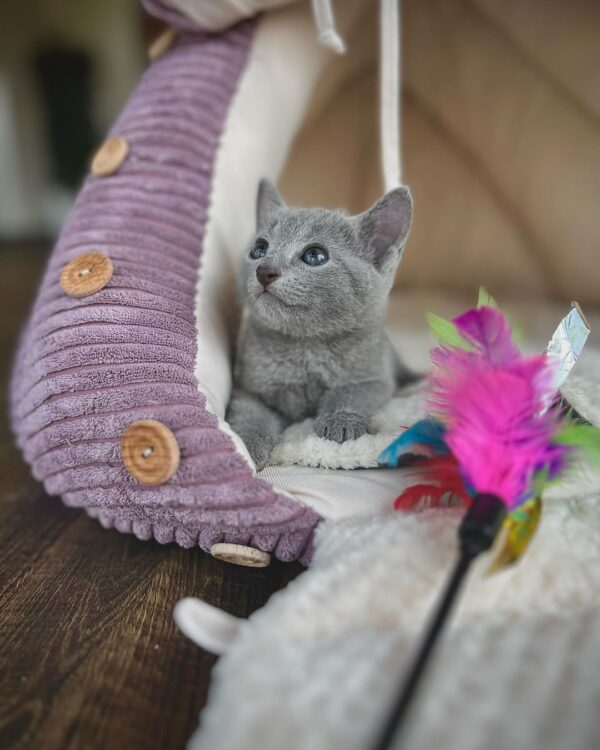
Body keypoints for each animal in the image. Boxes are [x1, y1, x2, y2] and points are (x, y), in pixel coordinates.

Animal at [227, 180, 414, 470]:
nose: (264, 270)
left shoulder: (373, 377)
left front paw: (341, 423)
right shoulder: (248, 389)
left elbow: (351, 393)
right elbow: (250, 415)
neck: (305, 348)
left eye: (315, 255)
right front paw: (245, 445)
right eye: (259, 249)